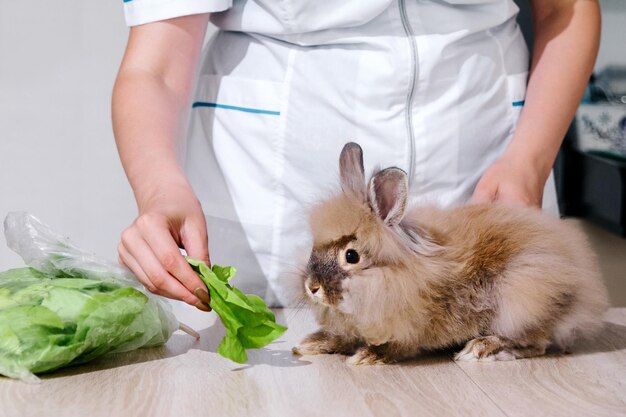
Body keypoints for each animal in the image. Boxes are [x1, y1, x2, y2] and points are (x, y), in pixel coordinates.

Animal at [290, 142, 608, 364]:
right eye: (314, 247)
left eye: (351, 256)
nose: (312, 287)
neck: (391, 276)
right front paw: (312, 343)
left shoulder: (411, 328)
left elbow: (396, 346)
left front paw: (368, 356)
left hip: (523, 298)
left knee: (536, 344)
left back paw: (482, 349)